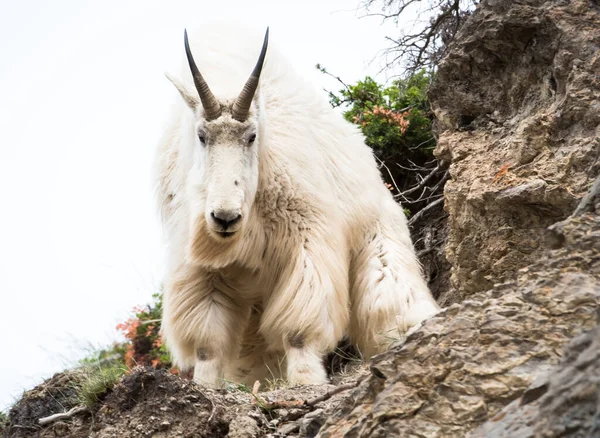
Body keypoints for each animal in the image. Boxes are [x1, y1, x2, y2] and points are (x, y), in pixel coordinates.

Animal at [152, 24, 438, 386]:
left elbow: (299, 329)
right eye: (201, 136)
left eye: (251, 136)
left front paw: (306, 381)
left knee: (387, 288)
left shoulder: (304, 241)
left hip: (377, 233)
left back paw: (409, 329)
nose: (225, 218)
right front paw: (204, 385)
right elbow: (208, 342)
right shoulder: (201, 264)